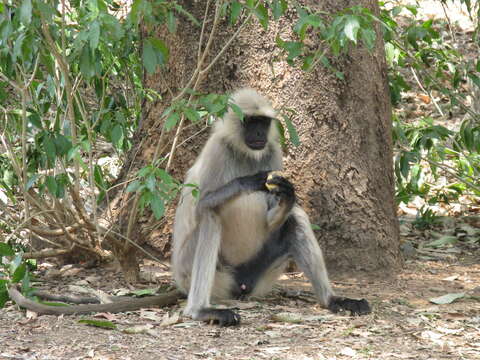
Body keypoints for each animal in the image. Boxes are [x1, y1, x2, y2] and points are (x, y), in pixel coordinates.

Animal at [172, 88, 372, 326]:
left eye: (263, 122)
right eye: (250, 121)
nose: (259, 133)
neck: (245, 153)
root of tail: (241, 285)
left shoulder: (272, 151)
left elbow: (274, 215)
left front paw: (287, 195)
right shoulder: (217, 150)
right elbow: (201, 205)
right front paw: (247, 182)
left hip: (262, 275)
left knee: (297, 217)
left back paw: (333, 300)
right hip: (195, 272)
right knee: (210, 215)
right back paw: (200, 310)